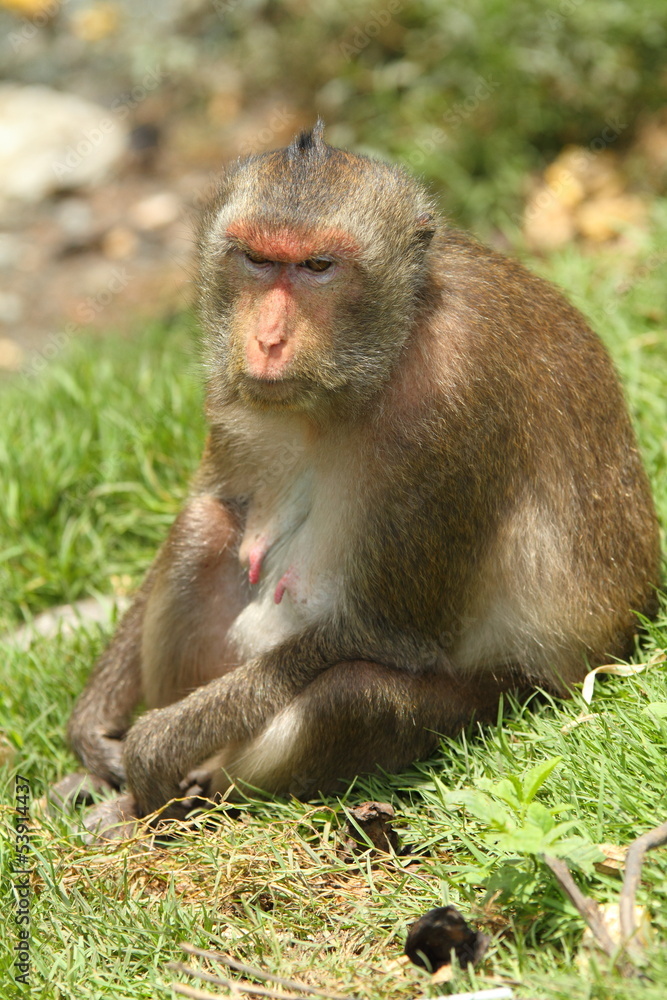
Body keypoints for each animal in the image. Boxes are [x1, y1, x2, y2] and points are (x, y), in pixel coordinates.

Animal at [63, 121, 660, 832]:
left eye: (319, 267)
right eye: (258, 260)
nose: (267, 340)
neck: (379, 358)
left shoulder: (451, 397)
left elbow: (384, 633)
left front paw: (154, 743)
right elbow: (214, 495)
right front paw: (96, 728)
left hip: (499, 700)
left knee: (352, 695)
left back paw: (185, 797)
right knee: (205, 525)